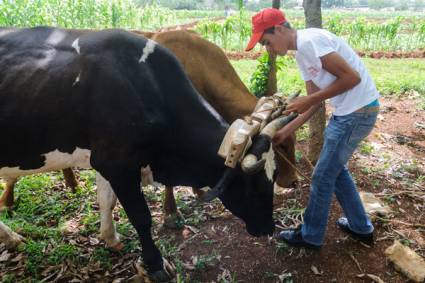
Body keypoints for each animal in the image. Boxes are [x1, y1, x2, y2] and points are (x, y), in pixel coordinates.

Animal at [0, 26, 276, 282]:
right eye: (253, 188)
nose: (269, 228)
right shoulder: (116, 162)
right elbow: (141, 217)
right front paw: (155, 264)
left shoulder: (107, 160)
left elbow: (106, 199)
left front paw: (110, 237)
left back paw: (12, 238)